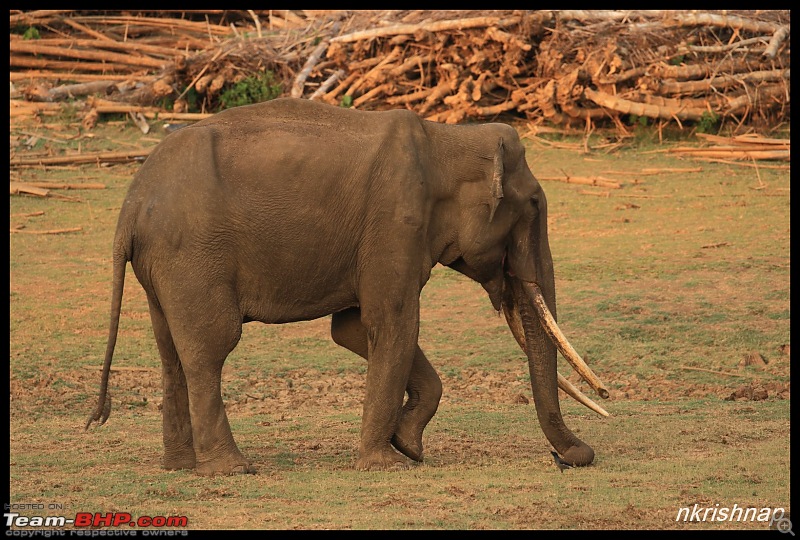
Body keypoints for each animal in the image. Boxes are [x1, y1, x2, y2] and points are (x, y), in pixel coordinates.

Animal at [86, 98, 608, 476]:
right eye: (535, 207)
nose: (572, 457)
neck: (448, 137)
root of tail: (130, 205)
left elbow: (354, 329)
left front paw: (409, 445)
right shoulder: (395, 223)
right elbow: (393, 322)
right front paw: (389, 462)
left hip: (162, 268)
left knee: (170, 352)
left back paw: (178, 467)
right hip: (192, 256)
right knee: (209, 348)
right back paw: (233, 469)